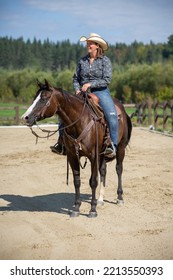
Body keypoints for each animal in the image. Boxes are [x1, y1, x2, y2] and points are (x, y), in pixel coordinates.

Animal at [22, 80, 132, 218]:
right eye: (35, 97)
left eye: (44, 98)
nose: (25, 117)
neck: (79, 121)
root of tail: (122, 109)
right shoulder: (72, 156)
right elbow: (77, 181)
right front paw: (76, 208)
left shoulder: (93, 156)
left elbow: (93, 181)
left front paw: (92, 210)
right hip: (102, 154)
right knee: (103, 171)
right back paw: (100, 200)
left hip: (120, 148)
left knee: (119, 169)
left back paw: (119, 198)